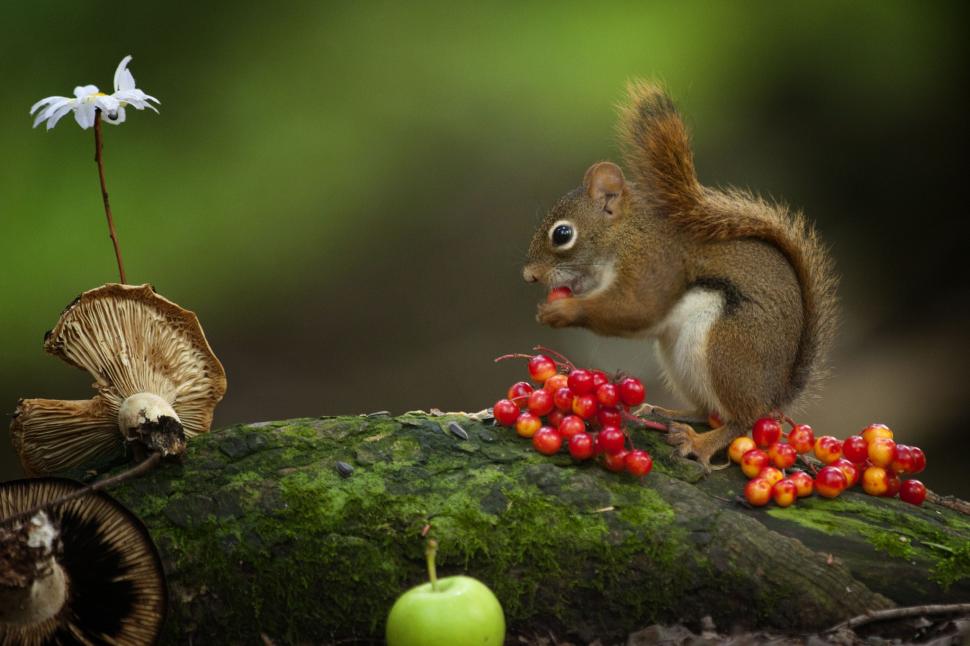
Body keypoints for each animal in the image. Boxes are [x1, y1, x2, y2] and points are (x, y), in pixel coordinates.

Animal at [522, 81, 839, 470]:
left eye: (562, 234)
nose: (529, 276)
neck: (626, 235)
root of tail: (776, 393)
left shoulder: (654, 264)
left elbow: (635, 308)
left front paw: (561, 311)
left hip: (727, 349)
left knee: (743, 420)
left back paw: (699, 443)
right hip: (678, 359)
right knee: (707, 410)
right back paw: (668, 412)